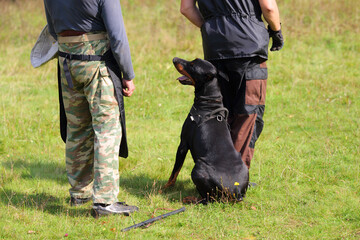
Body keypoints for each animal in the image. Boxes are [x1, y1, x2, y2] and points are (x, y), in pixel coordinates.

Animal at [165, 57, 249, 202]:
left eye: (192, 65)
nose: (175, 59)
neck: (209, 104)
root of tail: (235, 191)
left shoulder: (183, 144)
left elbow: (175, 171)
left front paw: (165, 188)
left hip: (198, 169)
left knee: (207, 199)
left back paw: (190, 199)